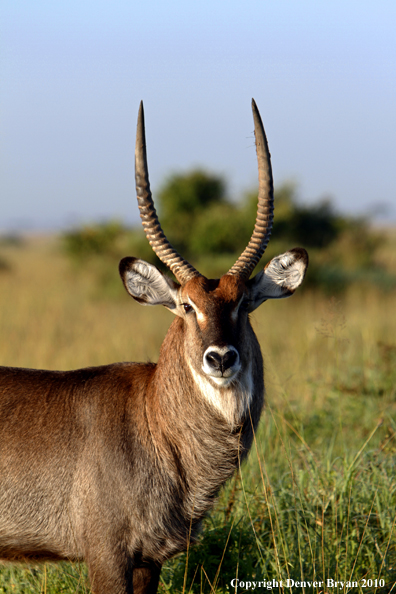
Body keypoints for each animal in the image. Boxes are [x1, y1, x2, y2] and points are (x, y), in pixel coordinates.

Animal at [0, 99, 308, 588]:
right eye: (186, 305)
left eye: (243, 302)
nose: (221, 358)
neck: (154, 420)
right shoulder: (107, 556)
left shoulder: (150, 560)